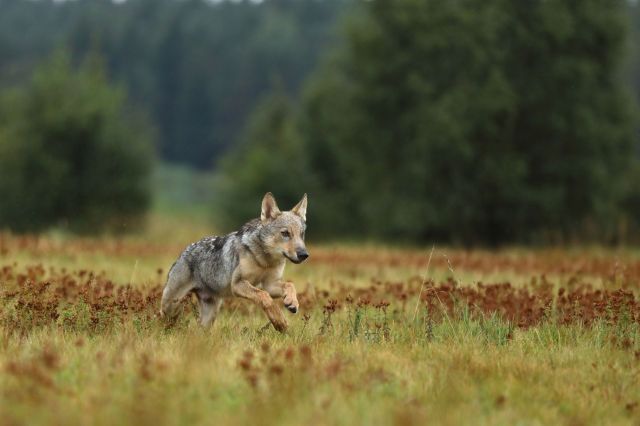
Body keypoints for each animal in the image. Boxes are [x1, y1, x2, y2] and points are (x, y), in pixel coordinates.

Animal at [160, 192, 308, 332]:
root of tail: (184, 251)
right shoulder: (237, 284)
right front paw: (279, 321)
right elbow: (264, 296)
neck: (264, 261)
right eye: (285, 233)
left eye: (301, 234)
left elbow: (289, 285)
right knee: (161, 316)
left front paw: (292, 302)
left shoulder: (270, 284)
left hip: (210, 314)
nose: (304, 255)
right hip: (171, 305)